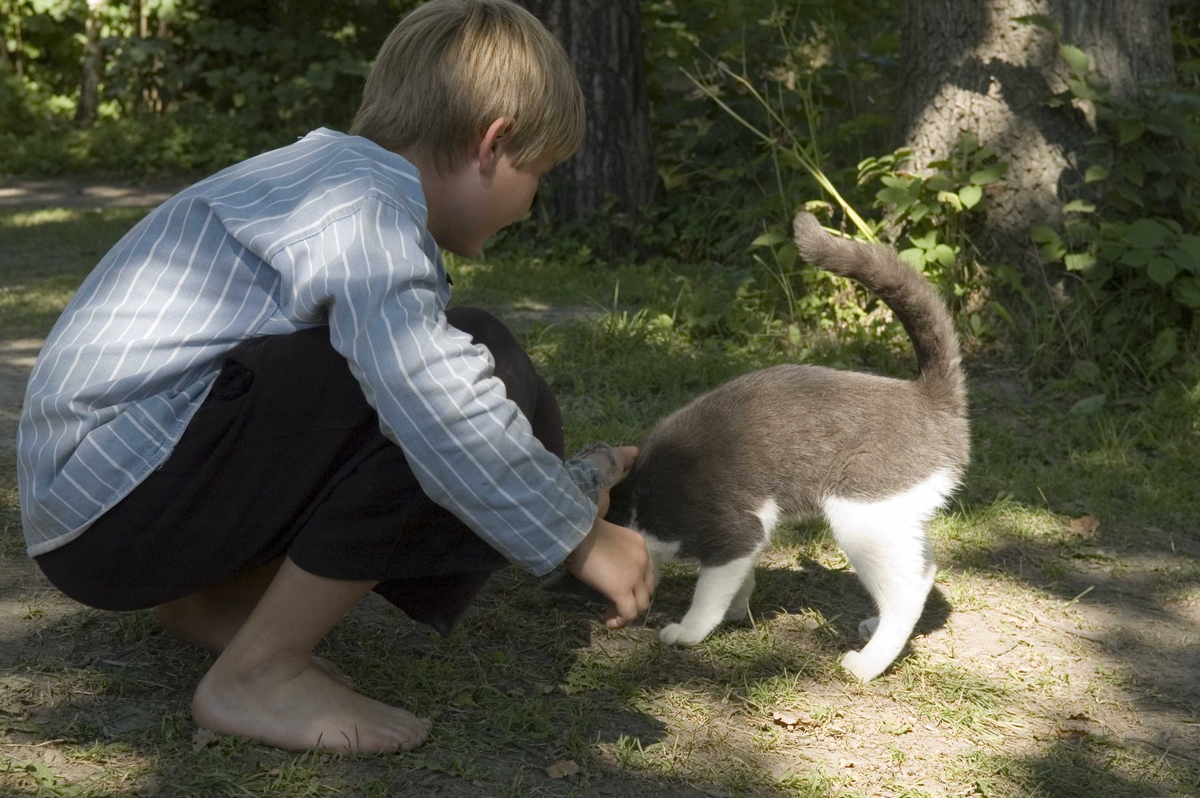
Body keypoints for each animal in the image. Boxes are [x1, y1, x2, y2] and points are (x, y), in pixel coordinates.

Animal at [604, 210, 969, 676]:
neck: (637, 501)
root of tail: (927, 394)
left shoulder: (733, 531)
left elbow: (709, 593)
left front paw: (688, 631)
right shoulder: (748, 536)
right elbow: (741, 579)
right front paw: (738, 609)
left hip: (861, 512)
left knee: (904, 592)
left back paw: (867, 662)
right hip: (896, 518)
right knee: (923, 571)